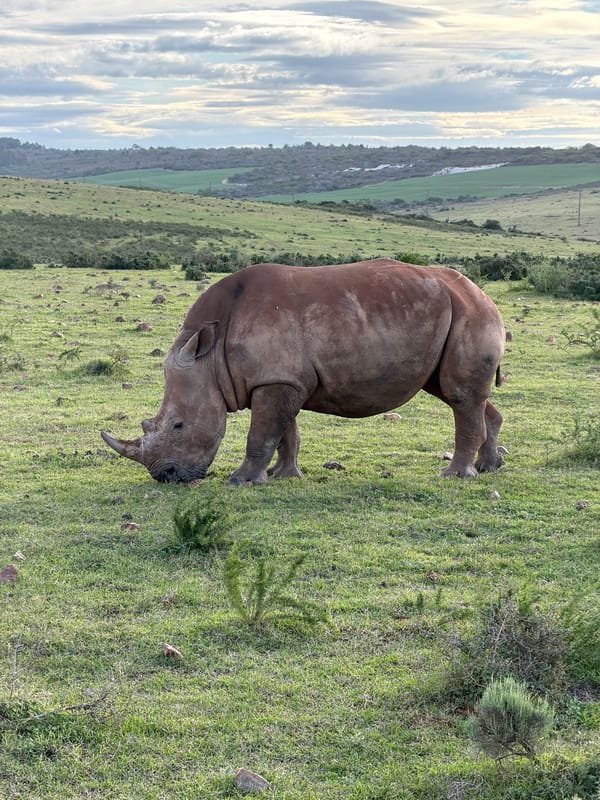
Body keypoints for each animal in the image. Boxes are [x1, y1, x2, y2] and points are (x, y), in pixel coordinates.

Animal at [101, 258, 505, 484]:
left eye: (178, 426)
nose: (165, 477)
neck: (209, 355)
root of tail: (482, 292)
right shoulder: (280, 378)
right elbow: (285, 434)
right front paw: (283, 476)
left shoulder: (276, 380)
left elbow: (261, 435)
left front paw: (241, 482)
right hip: (451, 314)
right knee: (456, 393)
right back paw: (490, 467)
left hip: (469, 312)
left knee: (459, 396)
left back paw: (455, 476)